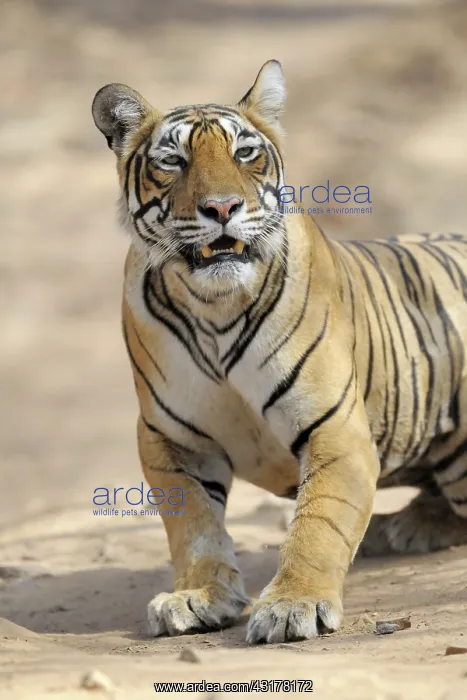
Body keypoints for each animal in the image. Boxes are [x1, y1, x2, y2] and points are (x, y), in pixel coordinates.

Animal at [92, 60, 467, 644]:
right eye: (173, 160)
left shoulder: (334, 428)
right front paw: (198, 596)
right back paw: (398, 527)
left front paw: (295, 606)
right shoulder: (170, 439)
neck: (215, 308)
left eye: (245, 152)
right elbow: (194, 527)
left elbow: (319, 524)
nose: (222, 207)